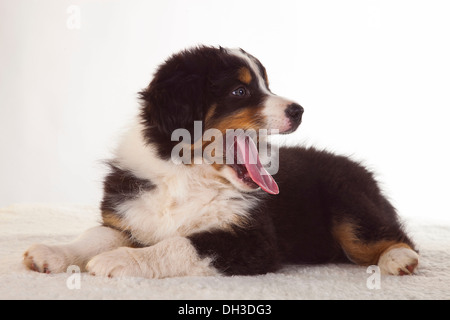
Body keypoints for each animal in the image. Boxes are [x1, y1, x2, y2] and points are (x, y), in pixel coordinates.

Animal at [23, 45, 418, 278]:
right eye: (240, 91)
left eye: (267, 85)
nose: (299, 110)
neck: (184, 175)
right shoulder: (128, 215)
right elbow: (93, 236)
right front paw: (52, 253)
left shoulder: (253, 238)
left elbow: (181, 244)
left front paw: (120, 261)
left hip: (349, 204)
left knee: (387, 236)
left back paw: (399, 260)